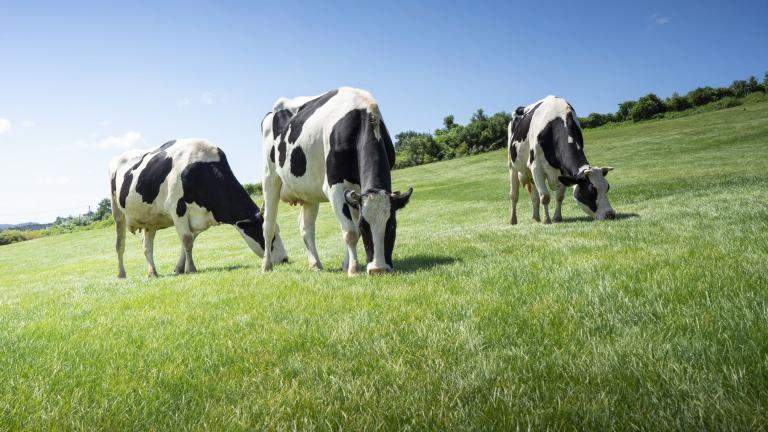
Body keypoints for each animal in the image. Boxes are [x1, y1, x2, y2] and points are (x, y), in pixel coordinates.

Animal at [109, 138, 287, 278]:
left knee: (147, 247)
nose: (285, 259)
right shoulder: (177, 208)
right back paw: (121, 273)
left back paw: (152, 272)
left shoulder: (198, 217)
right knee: (119, 244)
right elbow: (187, 240)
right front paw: (192, 269)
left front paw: (179, 269)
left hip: (150, 219)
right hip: (117, 212)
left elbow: (186, 242)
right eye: (270, 236)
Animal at [260, 87, 413, 276]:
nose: (378, 269)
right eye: (365, 226)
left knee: (306, 228)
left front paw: (347, 265)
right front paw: (353, 270)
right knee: (268, 226)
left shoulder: (355, 192)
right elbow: (351, 231)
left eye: (392, 226)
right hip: (270, 177)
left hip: (309, 190)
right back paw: (266, 265)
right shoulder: (335, 187)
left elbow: (352, 229)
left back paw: (315, 264)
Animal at [507, 95, 616, 224]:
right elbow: (545, 196)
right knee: (514, 195)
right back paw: (513, 220)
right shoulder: (536, 166)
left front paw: (557, 218)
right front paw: (546, 220)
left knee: (534, 197)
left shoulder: (563, 171)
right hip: (512, 166)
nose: (610, 214)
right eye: (592, 191)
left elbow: (559, 197)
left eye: (607, 187)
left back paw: (535, 218)